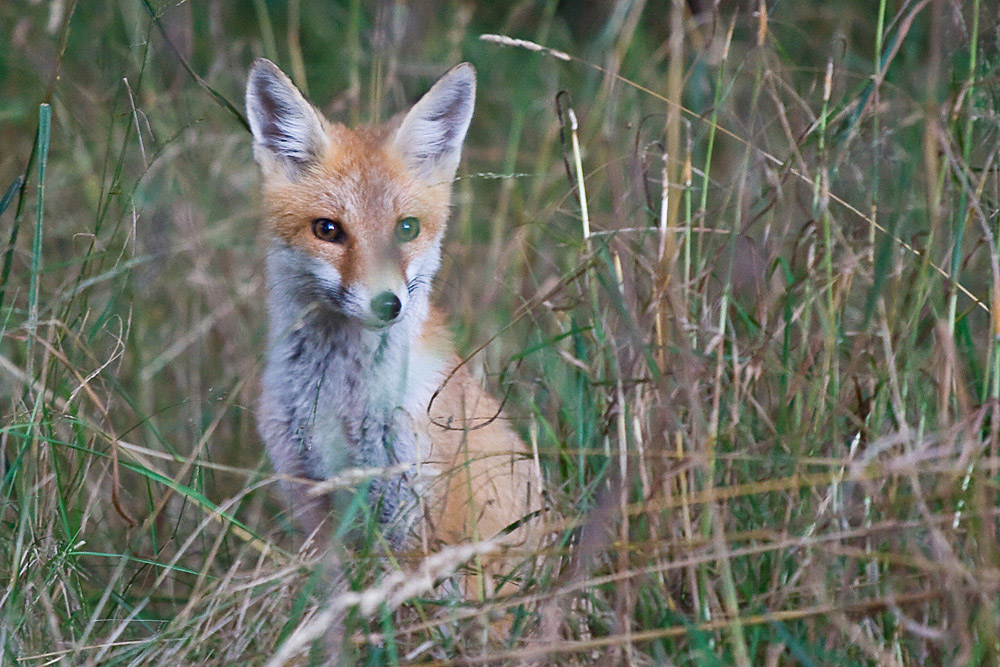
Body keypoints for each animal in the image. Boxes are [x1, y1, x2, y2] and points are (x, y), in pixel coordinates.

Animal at [245, 58, 544, 596]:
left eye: (407, 228)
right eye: (327, 230)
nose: (388, 304)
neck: (343, 401)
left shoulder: (414, 515)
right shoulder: (312, 504)